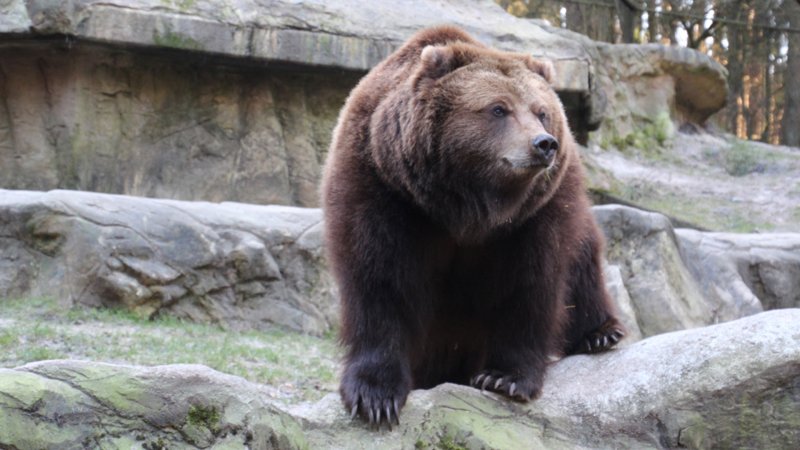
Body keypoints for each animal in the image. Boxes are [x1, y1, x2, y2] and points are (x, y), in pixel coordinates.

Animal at [321, 25, 624, 428]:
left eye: (542, 112)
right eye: (498, 108)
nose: (544, 144)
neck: (468, 206)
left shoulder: (533, 216)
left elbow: (530, 282)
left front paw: (504, 377)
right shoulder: (381, 187)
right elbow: (380, 279)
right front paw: (375, 396)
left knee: (585, 259)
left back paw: (600, 334)